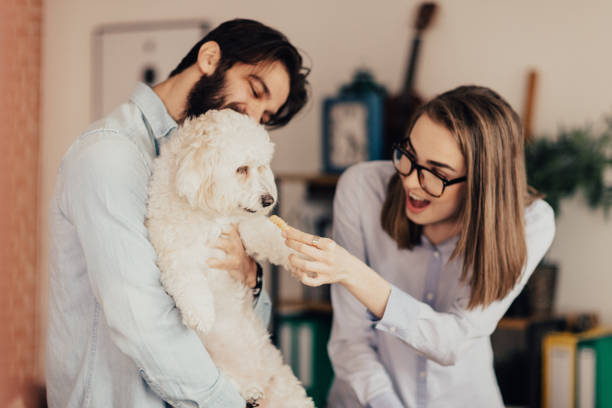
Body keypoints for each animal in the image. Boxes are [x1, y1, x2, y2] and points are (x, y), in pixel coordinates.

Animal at [146, 109, 314, 408]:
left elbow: (272, 236)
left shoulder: (245, 227)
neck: (208, 216)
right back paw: (249, 391)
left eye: (261, 167)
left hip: (287, 390)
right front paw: (201, 313)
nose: (269, 200)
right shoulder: (172, 248)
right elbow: (187, 278)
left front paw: (297, 252)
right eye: (241, 169)